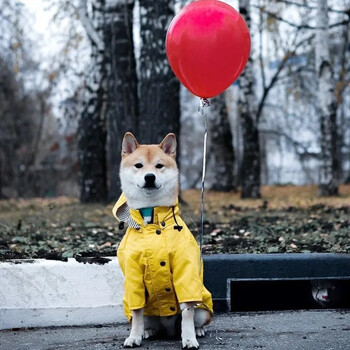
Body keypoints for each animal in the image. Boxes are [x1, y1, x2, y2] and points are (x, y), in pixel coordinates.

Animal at [115, 133, 213, 348]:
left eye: (159, 166)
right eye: (139, 165)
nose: (149, 176)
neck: (151, 220)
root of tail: (167, 330)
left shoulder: (185, 269)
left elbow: (187, 312)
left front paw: (189, 338)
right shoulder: (133, 274)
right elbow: (136, 312)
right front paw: (134, 336)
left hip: (203, 309)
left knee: (194, 316)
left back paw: (198, 330)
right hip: (148, 313)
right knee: (143, 319)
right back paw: (147, 331)